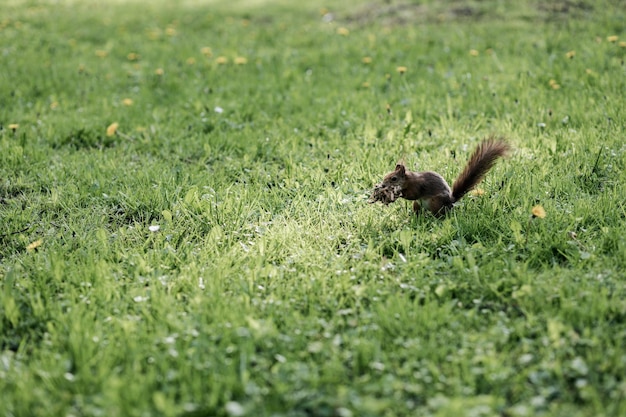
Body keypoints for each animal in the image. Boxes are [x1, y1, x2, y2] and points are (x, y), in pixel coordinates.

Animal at [370, 137, 508, 216]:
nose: (383, 185)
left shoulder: (418, 185)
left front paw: (398, 194)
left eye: (394, 178)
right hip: (417, 204)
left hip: (435, 202)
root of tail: (450, 202)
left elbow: (413, 194)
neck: (409, 180)